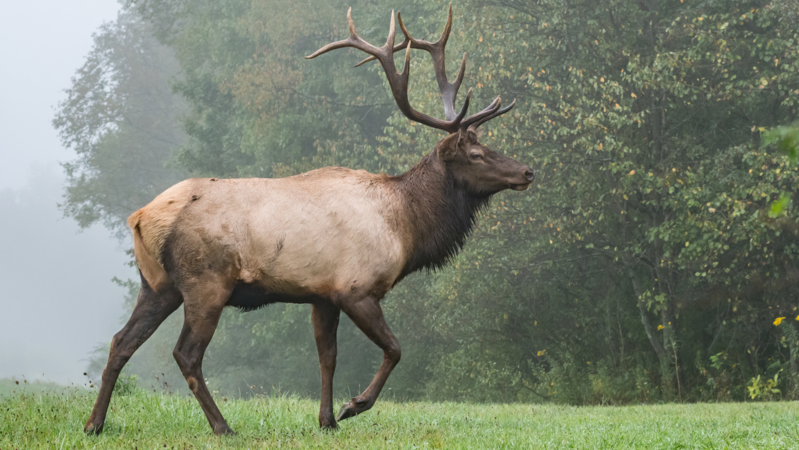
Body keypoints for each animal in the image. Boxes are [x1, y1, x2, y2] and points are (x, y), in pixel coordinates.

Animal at [86, 5, 532, 436]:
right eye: (476, 154)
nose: (527, 171)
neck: (404, 227)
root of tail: (141, 217)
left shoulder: (323, 294)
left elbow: (327, 358)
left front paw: (327, 420)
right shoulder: (356, 288)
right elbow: (394, 349)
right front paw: (354, 406)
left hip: (157, 285)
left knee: (120, 342)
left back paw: (95, 424)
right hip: (205, 281)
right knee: (186, 353)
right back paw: (223, 426)